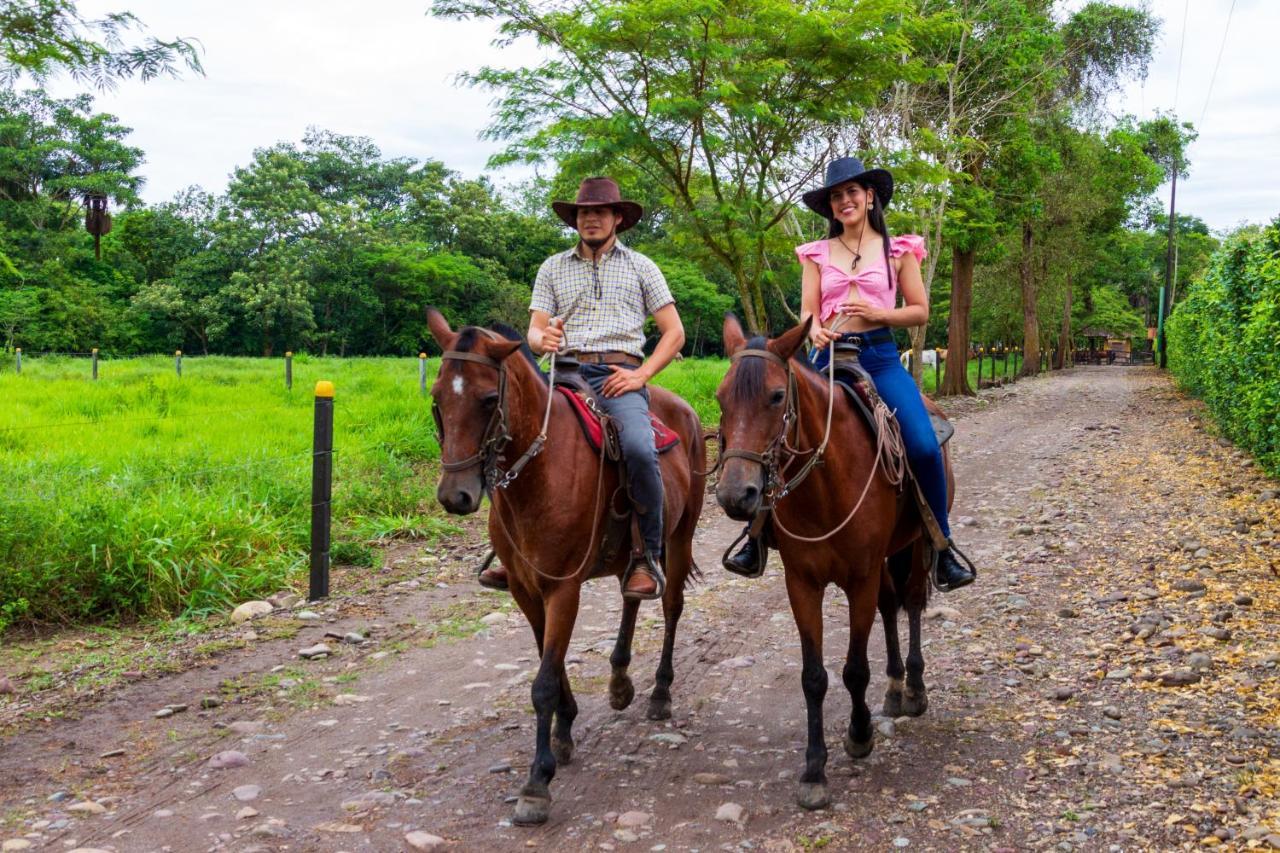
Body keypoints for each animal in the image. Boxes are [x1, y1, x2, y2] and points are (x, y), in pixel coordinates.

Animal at [424, 311, 706, 824]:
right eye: (437, 397)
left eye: (488, 399)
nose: (456, 496)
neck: (539, 473)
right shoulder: (526, 590)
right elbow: (548, 665)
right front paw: (564, 730)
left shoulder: (563, 588)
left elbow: (543, 683)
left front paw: (537, 782)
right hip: (627, 554)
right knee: (632, 594)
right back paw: (619, 681)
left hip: (680, 536)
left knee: (671, 605)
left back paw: (659, 693)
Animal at [721, 315, 952, 809]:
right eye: (719, 398)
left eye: (776, 396)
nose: (735, 494)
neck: (823, 488)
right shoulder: (802, 583)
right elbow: (814, 676)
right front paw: (813, 770)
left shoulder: (859, 579)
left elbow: (854, 668)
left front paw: (860, 735)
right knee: (890, 606)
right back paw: (895, 687)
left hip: (915, 546)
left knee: (912, 602)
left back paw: (914, 689)